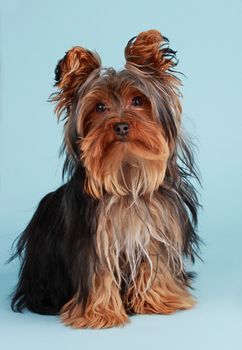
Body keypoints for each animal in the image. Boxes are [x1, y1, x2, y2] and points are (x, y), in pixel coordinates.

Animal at [9, 29, 200, 328]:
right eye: (99, 107)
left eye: (138, 101)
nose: (120, 125)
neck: (127, 174)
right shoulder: (93, 240)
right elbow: (98, 274)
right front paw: (100, 313)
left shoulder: (156, 228)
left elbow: (154, 262)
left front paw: (158, 300)